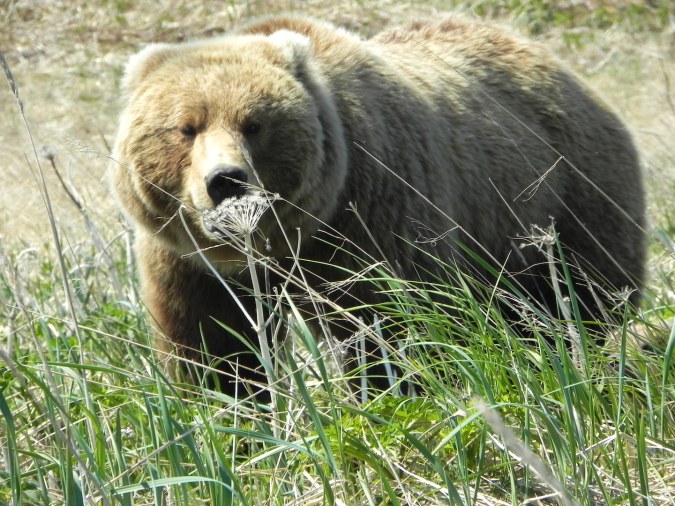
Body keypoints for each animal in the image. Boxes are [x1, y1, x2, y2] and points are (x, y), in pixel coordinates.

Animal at [109, 15, 645, 396]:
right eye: (186, 127)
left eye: (254, 124)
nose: (226, 180)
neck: (285, 239)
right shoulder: (191, 261)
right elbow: (215, 347)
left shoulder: (369, 215)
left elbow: (384, 325)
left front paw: (387, 395)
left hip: (565, 198)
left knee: (582, 295)